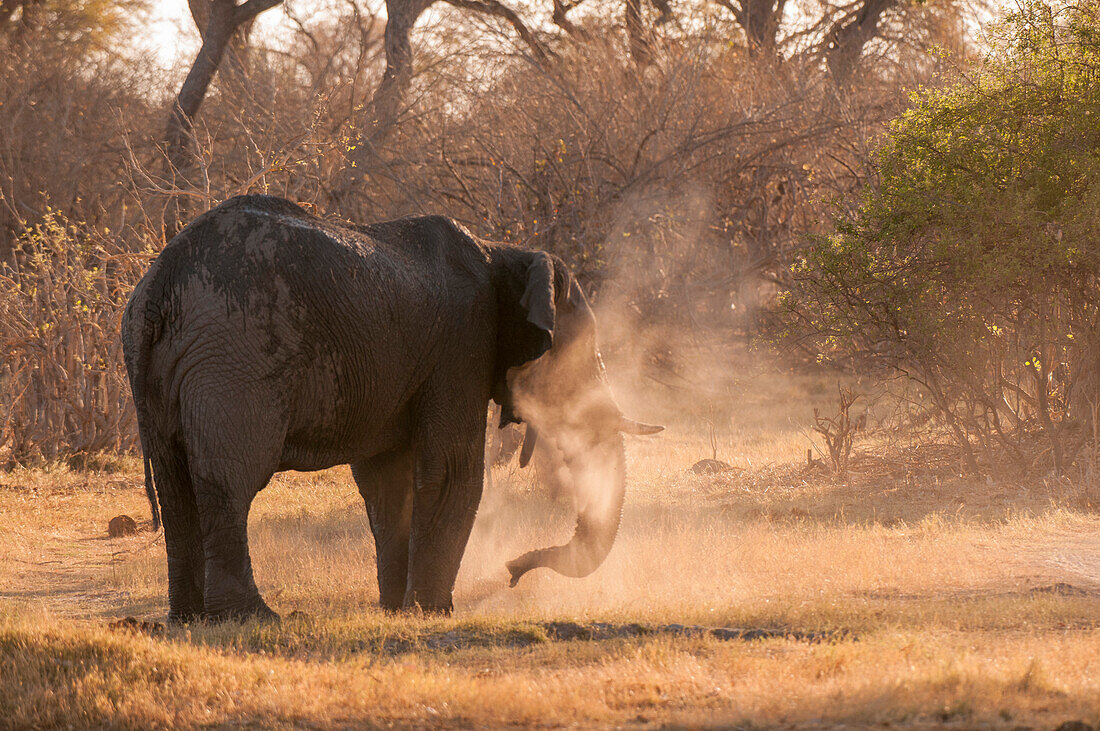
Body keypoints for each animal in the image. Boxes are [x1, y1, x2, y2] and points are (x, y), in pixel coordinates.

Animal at [126, 195, 660, 619]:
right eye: (581, 357)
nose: (512, 570)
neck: (503, 252)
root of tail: (160, 283)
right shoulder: (461, 345)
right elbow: (451, 472)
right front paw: (432, 612)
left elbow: (388, 481)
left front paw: (395, 611)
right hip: (236, 361)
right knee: (230, 481)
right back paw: (255, 617)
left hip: (160, 375)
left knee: (176, 487)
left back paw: (190, 618)